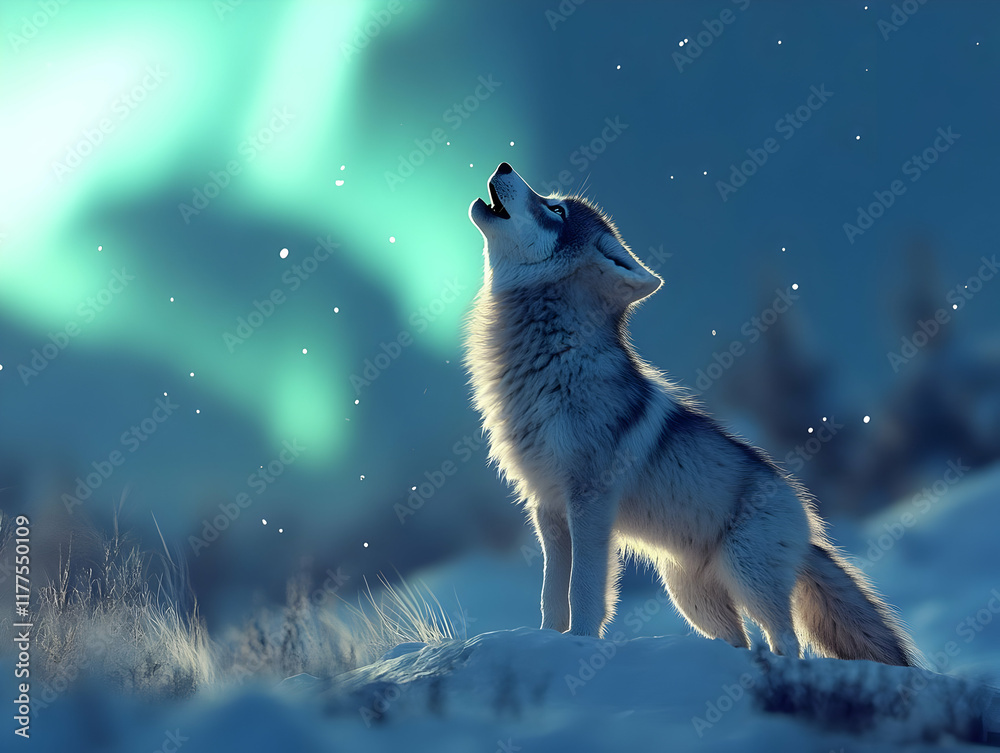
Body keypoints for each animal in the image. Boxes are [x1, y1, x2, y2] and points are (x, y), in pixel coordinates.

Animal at [465, 162, 919, 666]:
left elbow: (583, 592)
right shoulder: (547, 508)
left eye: (555, 209)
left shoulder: (588, 503)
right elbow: (550, 597)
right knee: (741, 638)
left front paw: (579, 645)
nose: (504, 165)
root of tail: (810, 528)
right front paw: (546, 640)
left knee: (786, 639)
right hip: (690, 596)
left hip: (745, 576)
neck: (549, 360)